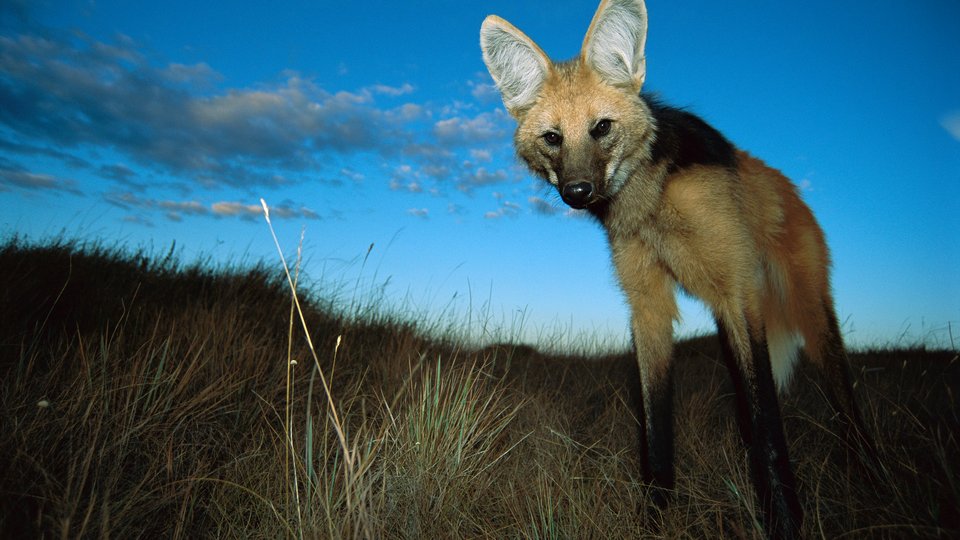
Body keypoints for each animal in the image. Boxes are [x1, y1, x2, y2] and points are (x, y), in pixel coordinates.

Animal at [480, 0, 874, 537]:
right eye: (553, 138)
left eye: (601, 128)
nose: (577, 192)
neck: (651, 205)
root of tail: (792, 191)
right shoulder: (648, 306)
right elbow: (655, 433)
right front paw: (655, 518)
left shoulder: (737, 290)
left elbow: (768, 432)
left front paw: (785, 521)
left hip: (806, 311)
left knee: (842, 405)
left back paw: (866, 480)